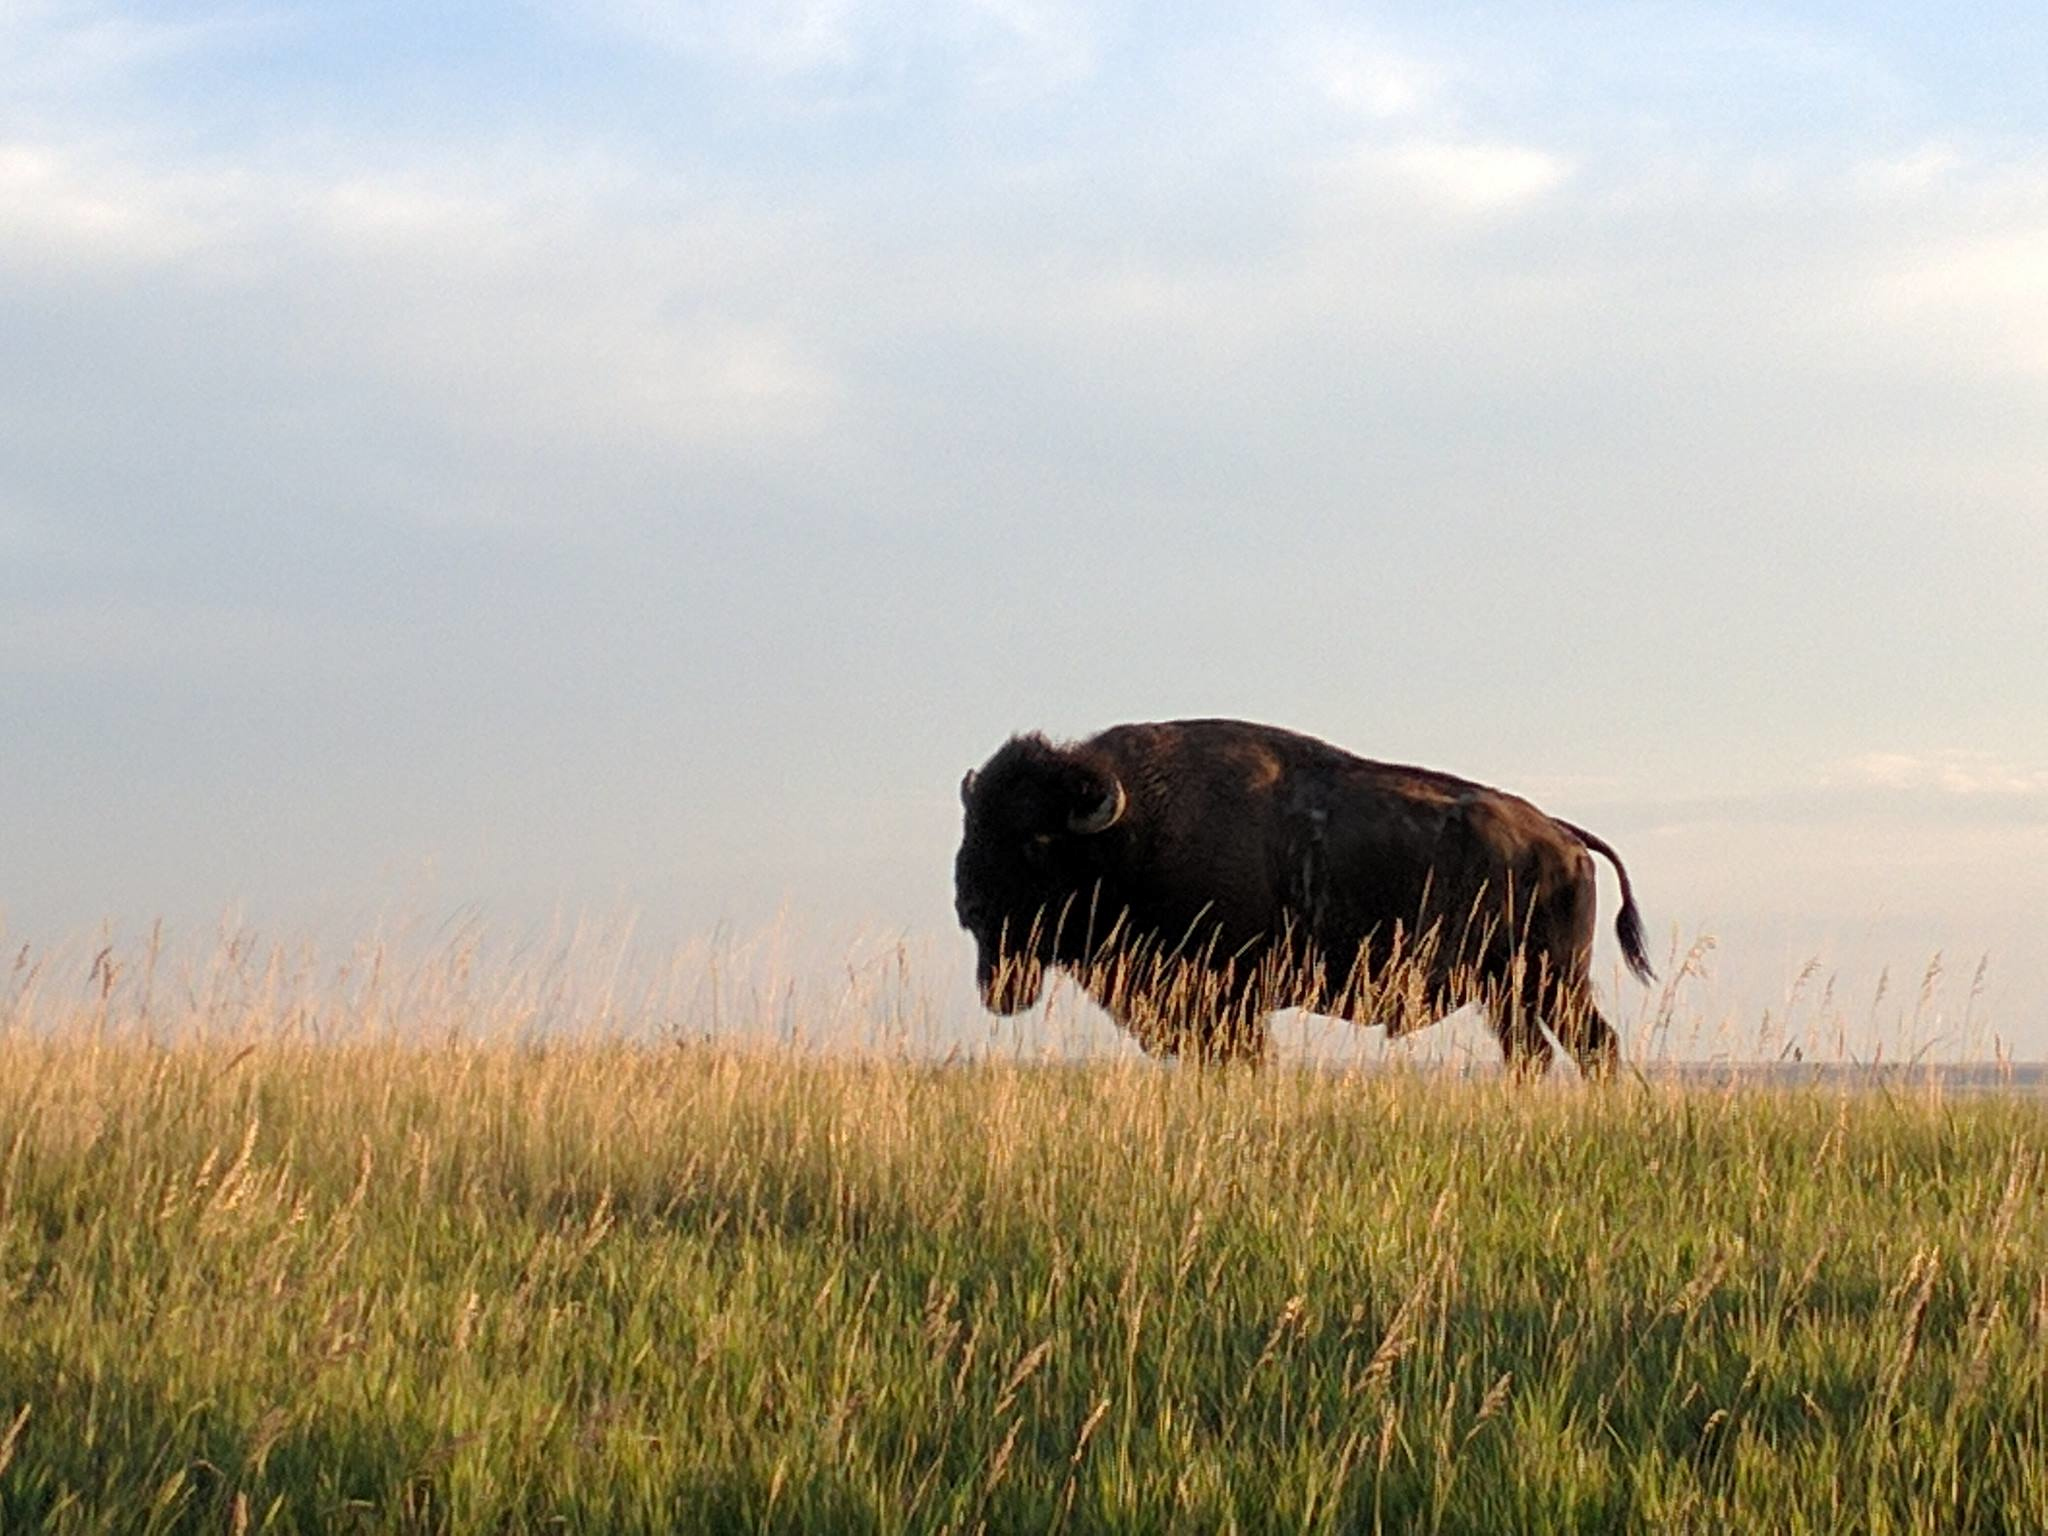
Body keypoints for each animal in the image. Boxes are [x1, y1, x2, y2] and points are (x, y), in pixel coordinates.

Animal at [950, 720, 1654, 1073]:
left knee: (1592, 1047)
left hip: (1551, 981)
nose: (967, 904)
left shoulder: (1229, 1003)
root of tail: (1562, 835)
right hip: (1507, 991)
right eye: (973, 824)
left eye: (1036, 839)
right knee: (1533, 1054)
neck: (1129, 833)